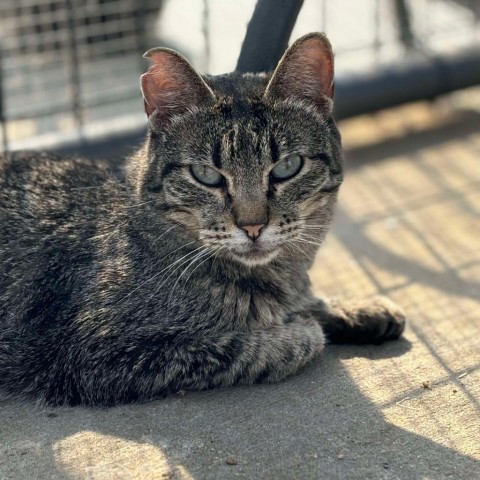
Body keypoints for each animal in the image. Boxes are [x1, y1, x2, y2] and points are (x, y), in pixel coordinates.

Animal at [0, 33, 404, 406]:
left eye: (288, 167)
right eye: (206, 175)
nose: (253, 226)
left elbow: (305, 302)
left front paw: (355, 309)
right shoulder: (95, 354)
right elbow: (244, 347)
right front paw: (301, 330)